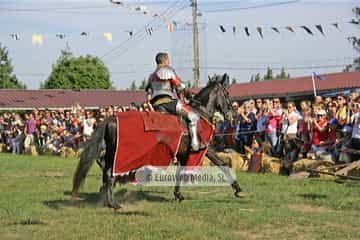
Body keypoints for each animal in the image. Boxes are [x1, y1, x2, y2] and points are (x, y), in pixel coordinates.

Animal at [71, 72, 243, 208]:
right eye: (227, 93)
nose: (233, 115)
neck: (200, 113)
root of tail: (112, 118)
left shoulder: (182, 153)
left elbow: (180, 172)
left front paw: (178, 195)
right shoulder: (205, 149)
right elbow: (223, 164)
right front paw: (238, 189)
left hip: (112, 151)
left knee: (105, 168)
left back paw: (108, 199)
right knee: (109, 171)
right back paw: (112, 203)